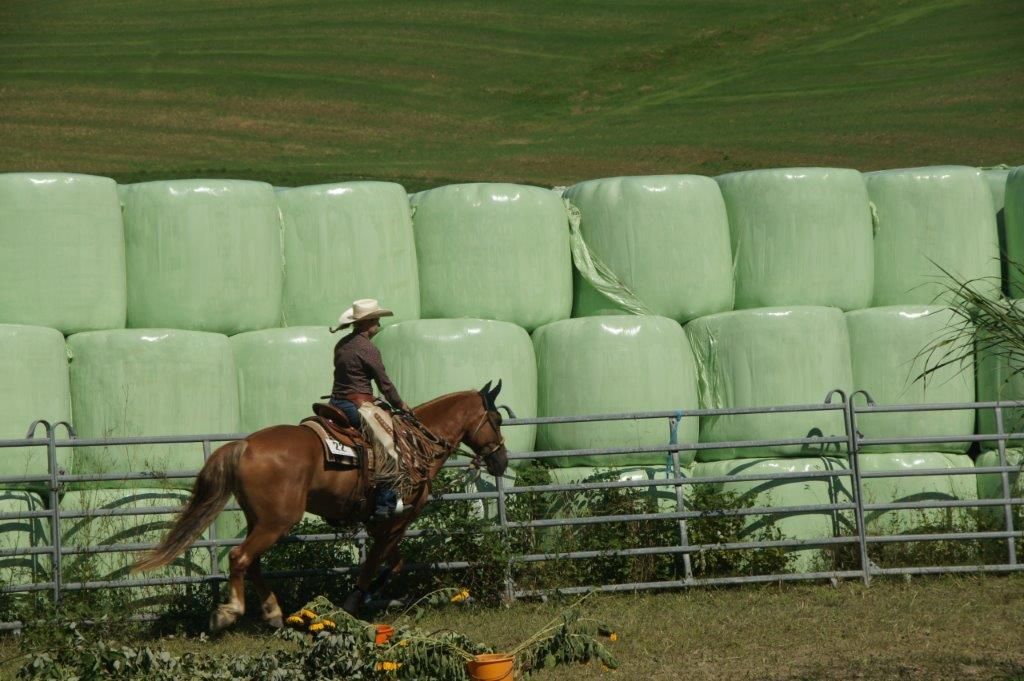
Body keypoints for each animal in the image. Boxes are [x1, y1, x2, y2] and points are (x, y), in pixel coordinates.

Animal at [134, 381, 509, 632]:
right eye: (496, 419)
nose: (501, 461)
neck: (416, 446)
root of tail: (245, 445)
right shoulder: (394, 522)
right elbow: (377, 563)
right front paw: (356, 600)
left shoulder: (382, 525)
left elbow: (394, 562)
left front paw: (370, 594)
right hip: (277, 521)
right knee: (240, 557)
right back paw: (229, 612)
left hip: (260, 519)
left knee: (252, 562)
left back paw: (273, 613)